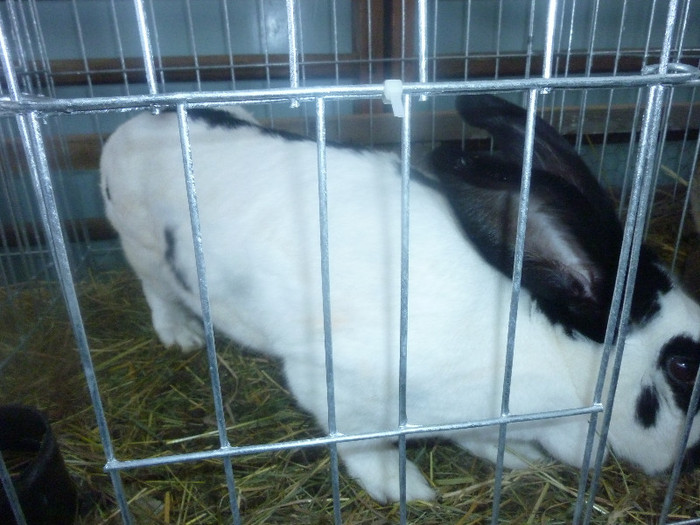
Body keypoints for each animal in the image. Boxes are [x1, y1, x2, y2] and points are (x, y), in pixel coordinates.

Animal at [100, 95, 700, 504]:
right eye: (683, 365)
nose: (693, 462)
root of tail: (134, 125)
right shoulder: (334, 384)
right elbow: (362, 445)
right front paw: (405, 488)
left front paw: (519, 458)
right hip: (144, 249)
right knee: (157, 292)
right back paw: (181, 336)